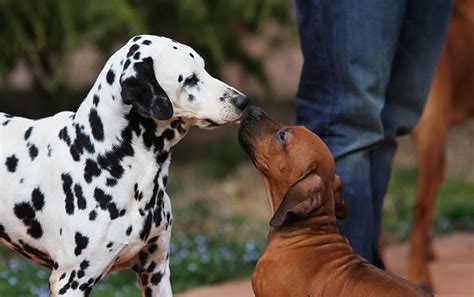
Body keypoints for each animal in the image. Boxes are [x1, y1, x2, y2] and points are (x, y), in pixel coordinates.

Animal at [1, 35, 248, 296]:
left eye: (204, 68)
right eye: (190, 79)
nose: (243, 101)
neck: (101, 155)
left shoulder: (156, 272)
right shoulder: (71, 282)